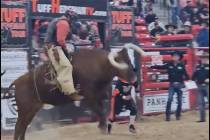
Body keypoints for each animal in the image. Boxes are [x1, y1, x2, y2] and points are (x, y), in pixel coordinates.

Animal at [6, 43, 144, 139]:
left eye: (129, 60)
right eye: (122, 62)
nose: (134, 78)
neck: (99, 64)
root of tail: (17, 82)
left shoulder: (98, 96)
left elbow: (101, 111)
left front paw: (102, 126)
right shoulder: (89, 97)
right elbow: (99, 111)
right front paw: (103, 127)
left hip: (31, 110)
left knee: (23, 127)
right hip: (24, 110)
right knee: (18, 127)